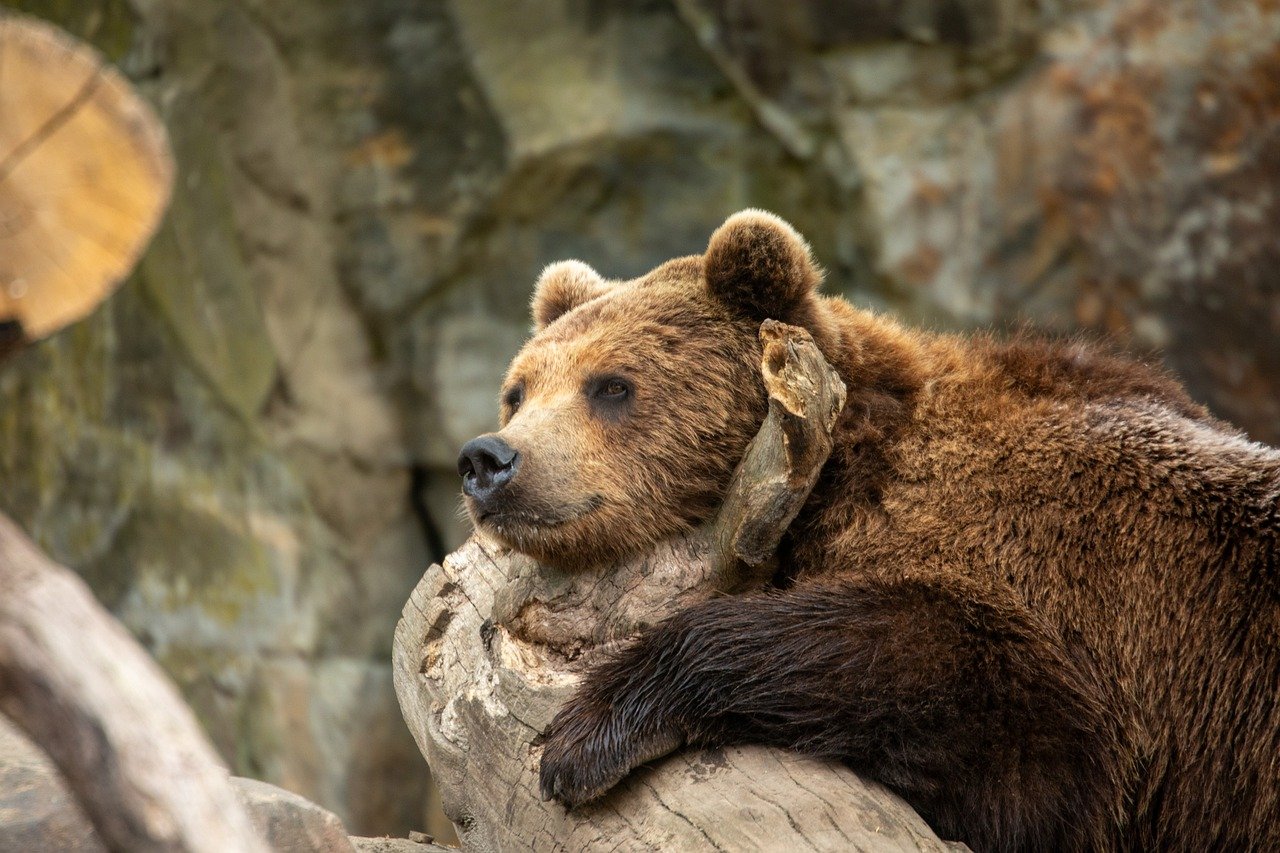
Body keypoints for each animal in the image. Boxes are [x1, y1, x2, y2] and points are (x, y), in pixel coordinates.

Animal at [458, 207, 1280, 850]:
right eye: (518, 390)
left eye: (612, 386)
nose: (488, 460)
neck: (832, 475)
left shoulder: (1082, 589)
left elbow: (1005, 719)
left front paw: (585, 735)